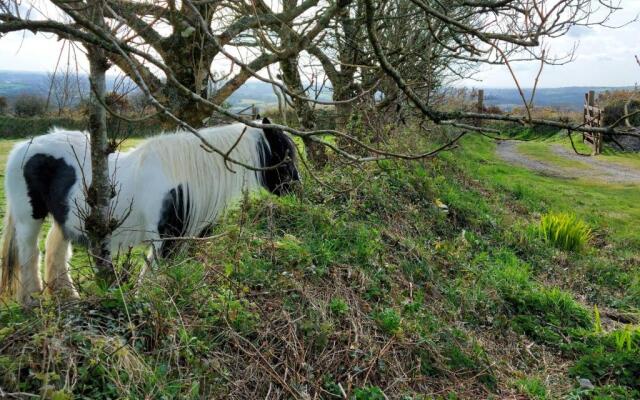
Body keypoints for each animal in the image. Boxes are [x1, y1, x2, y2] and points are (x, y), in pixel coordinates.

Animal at [0, 117, 300, 304]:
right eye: (285, 155)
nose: (298, 191)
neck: (181, 176)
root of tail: (22, 147)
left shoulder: (177, 240)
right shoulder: (162, 240)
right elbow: (153, 277)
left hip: (66, 219)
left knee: (56, 249)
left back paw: (67, 298)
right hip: (29, 220)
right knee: (30, 254)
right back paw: (32, 301)